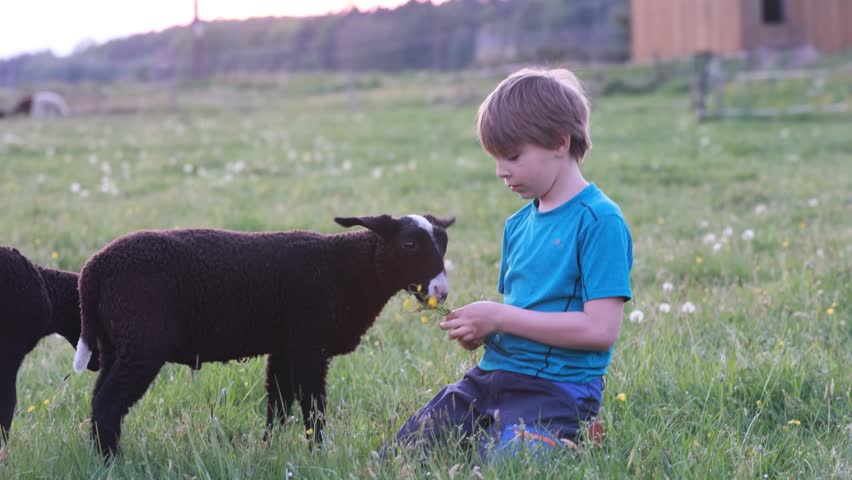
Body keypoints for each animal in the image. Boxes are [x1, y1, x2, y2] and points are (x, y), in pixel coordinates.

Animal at [72, 213, 455, 457]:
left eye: (445, 243)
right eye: (409, 244)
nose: (441, 291)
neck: (346, 268)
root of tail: (94, 269)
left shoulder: (285, 348)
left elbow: (278, 404)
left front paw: (270, 449)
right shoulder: (308, 345)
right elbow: (313, 406)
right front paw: (318, 453)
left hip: (116, 344)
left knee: (98, 399)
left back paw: (100, 456)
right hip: (141, 343)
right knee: (108, 403)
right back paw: (112, 461)